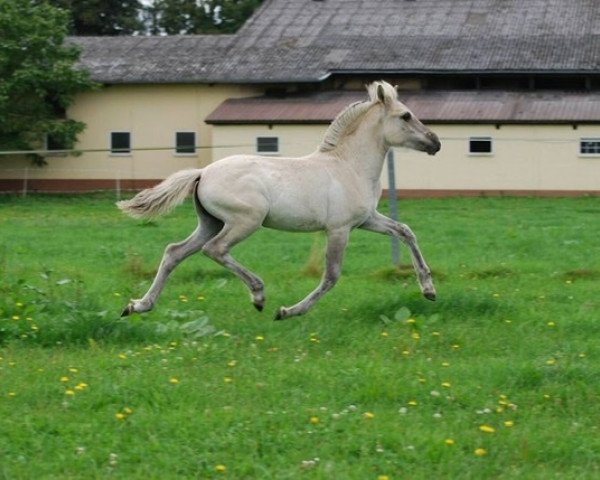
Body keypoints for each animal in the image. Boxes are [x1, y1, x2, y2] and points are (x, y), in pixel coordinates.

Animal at [117, 80, 438, 320]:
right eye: (406, 115)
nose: (435, 142)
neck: (348, 166)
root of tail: (202, 172)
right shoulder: (339, 229)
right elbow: (332, 275)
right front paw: (288, 311)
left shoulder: (365, 220)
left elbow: (405, 231)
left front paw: (429, 290)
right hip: (245, 220)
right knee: (215, 249)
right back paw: (258, 295)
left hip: (210, 222)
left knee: (175, 252)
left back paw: (138, 305)